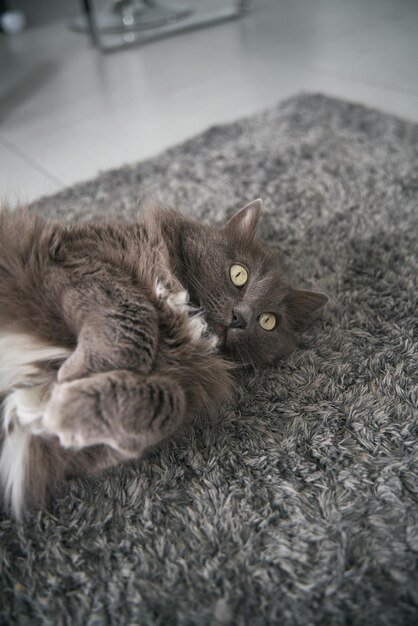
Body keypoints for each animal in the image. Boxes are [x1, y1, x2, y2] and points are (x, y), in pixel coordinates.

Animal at [0, 197, 326, 516]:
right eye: (239, 274)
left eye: (268, 321)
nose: (241, 318)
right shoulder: (78, 259)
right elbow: (132, 315)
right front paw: (75, 374)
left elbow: (166, 404)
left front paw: (61, 405)